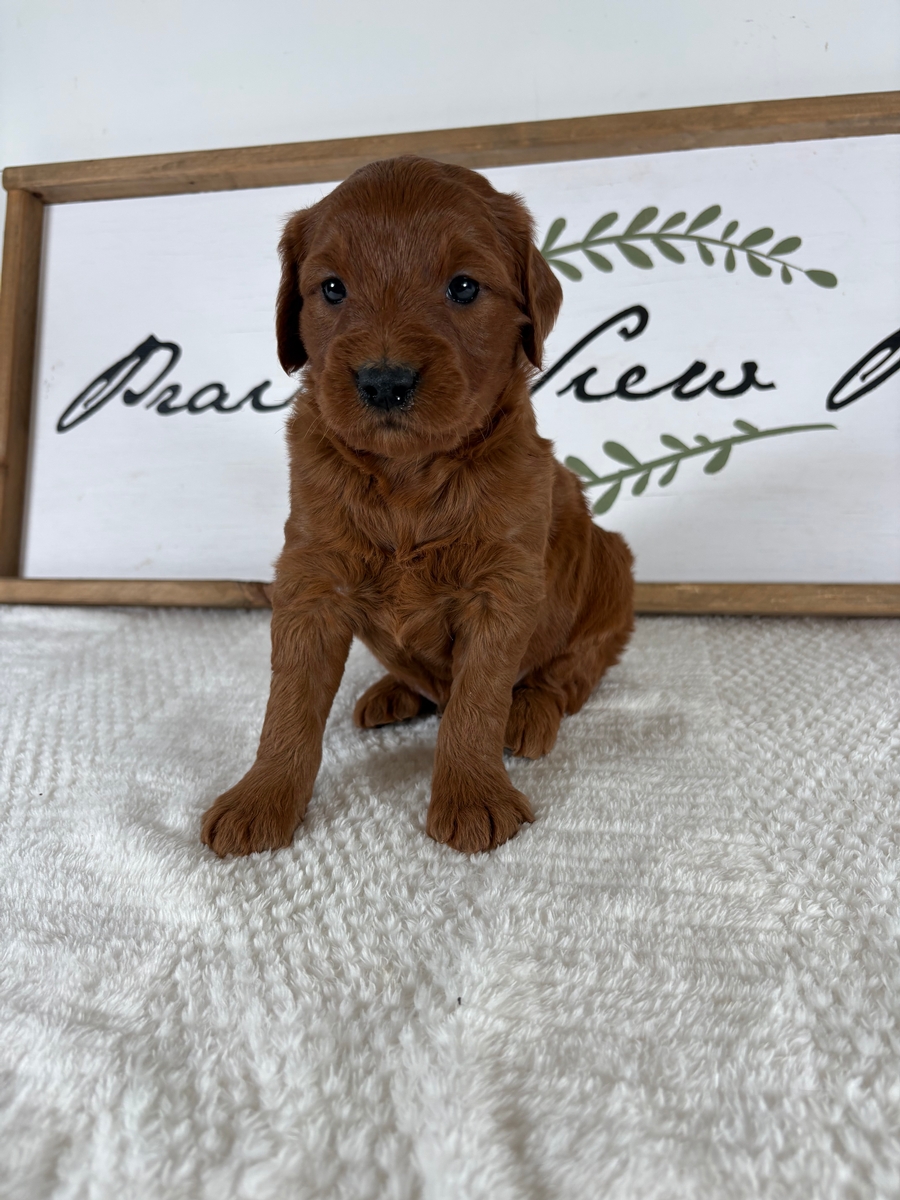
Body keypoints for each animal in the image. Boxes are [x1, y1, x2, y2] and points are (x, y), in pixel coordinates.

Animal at [201, 155, 634, 856]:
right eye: (332, 289)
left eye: (463, 287)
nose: (385, 382)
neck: (408, 476)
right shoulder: (311, 577)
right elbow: (288, 702)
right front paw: (260, 798)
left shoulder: (502, 586)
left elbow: (477, 701)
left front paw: (472, 797)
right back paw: (394, 691)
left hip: (612, 571)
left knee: (571, 671)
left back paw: (530, 711)